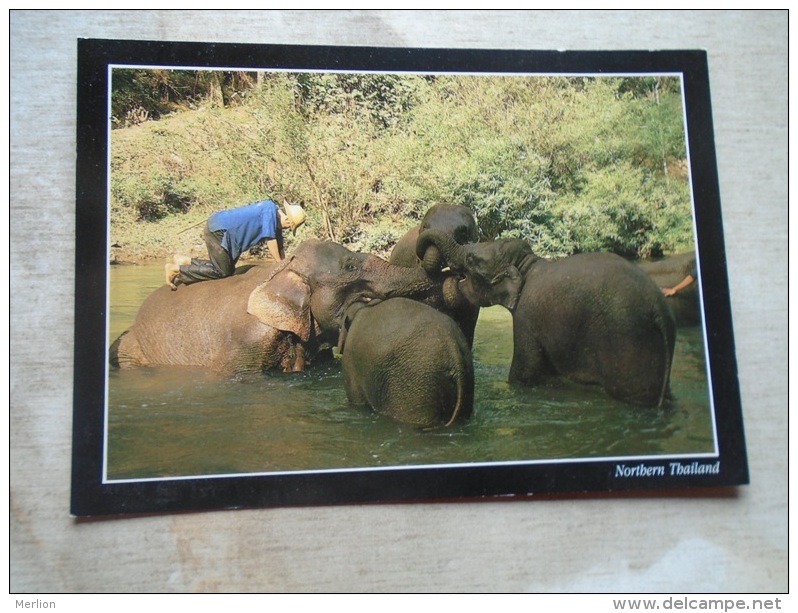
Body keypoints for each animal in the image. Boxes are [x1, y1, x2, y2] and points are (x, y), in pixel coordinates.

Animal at [416, 232, 680, 408]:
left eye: (471, 259)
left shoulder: (526, 317)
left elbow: (523, 374)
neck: (528, 264)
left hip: (629, 341)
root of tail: (658, 309)